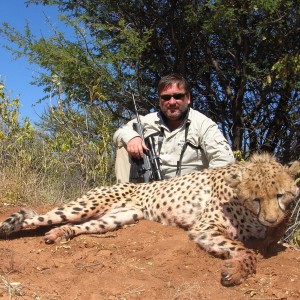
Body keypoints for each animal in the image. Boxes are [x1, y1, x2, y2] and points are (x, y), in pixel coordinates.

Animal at [0, 154, 298, 284]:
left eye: (280, 195)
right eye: (256, 198)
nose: (271, 219)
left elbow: (271, 243)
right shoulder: (205, 227)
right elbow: (246, 251)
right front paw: (236, 270)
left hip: (117, 218)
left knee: (75, 225)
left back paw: (61, 234)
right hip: (85, 205)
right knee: (38, 217)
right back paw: (9, 227)